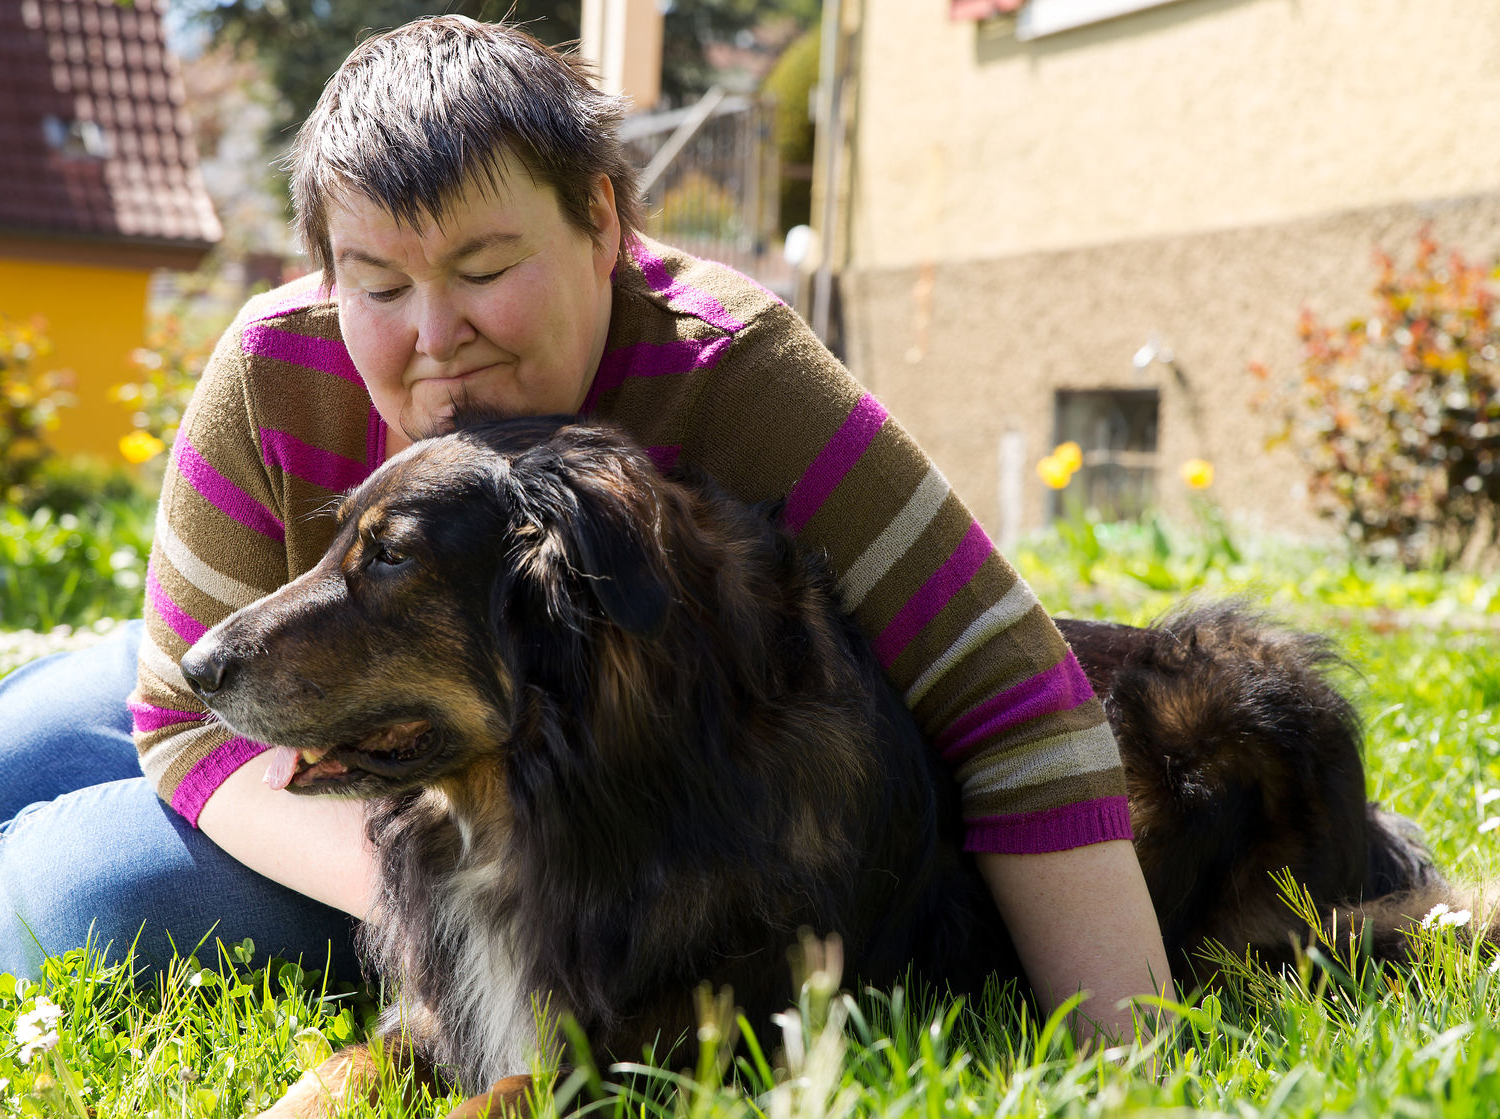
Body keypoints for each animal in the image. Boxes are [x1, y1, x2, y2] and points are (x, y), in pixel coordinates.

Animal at [181, 411, 1482, 1116]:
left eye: (393, 557)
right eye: (339, 542)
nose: (194, 667)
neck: (584, 790)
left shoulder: (702, 1039)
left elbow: (509, 1091)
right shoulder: (452, 1002)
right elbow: (337, 1068)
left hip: (1235, 682)